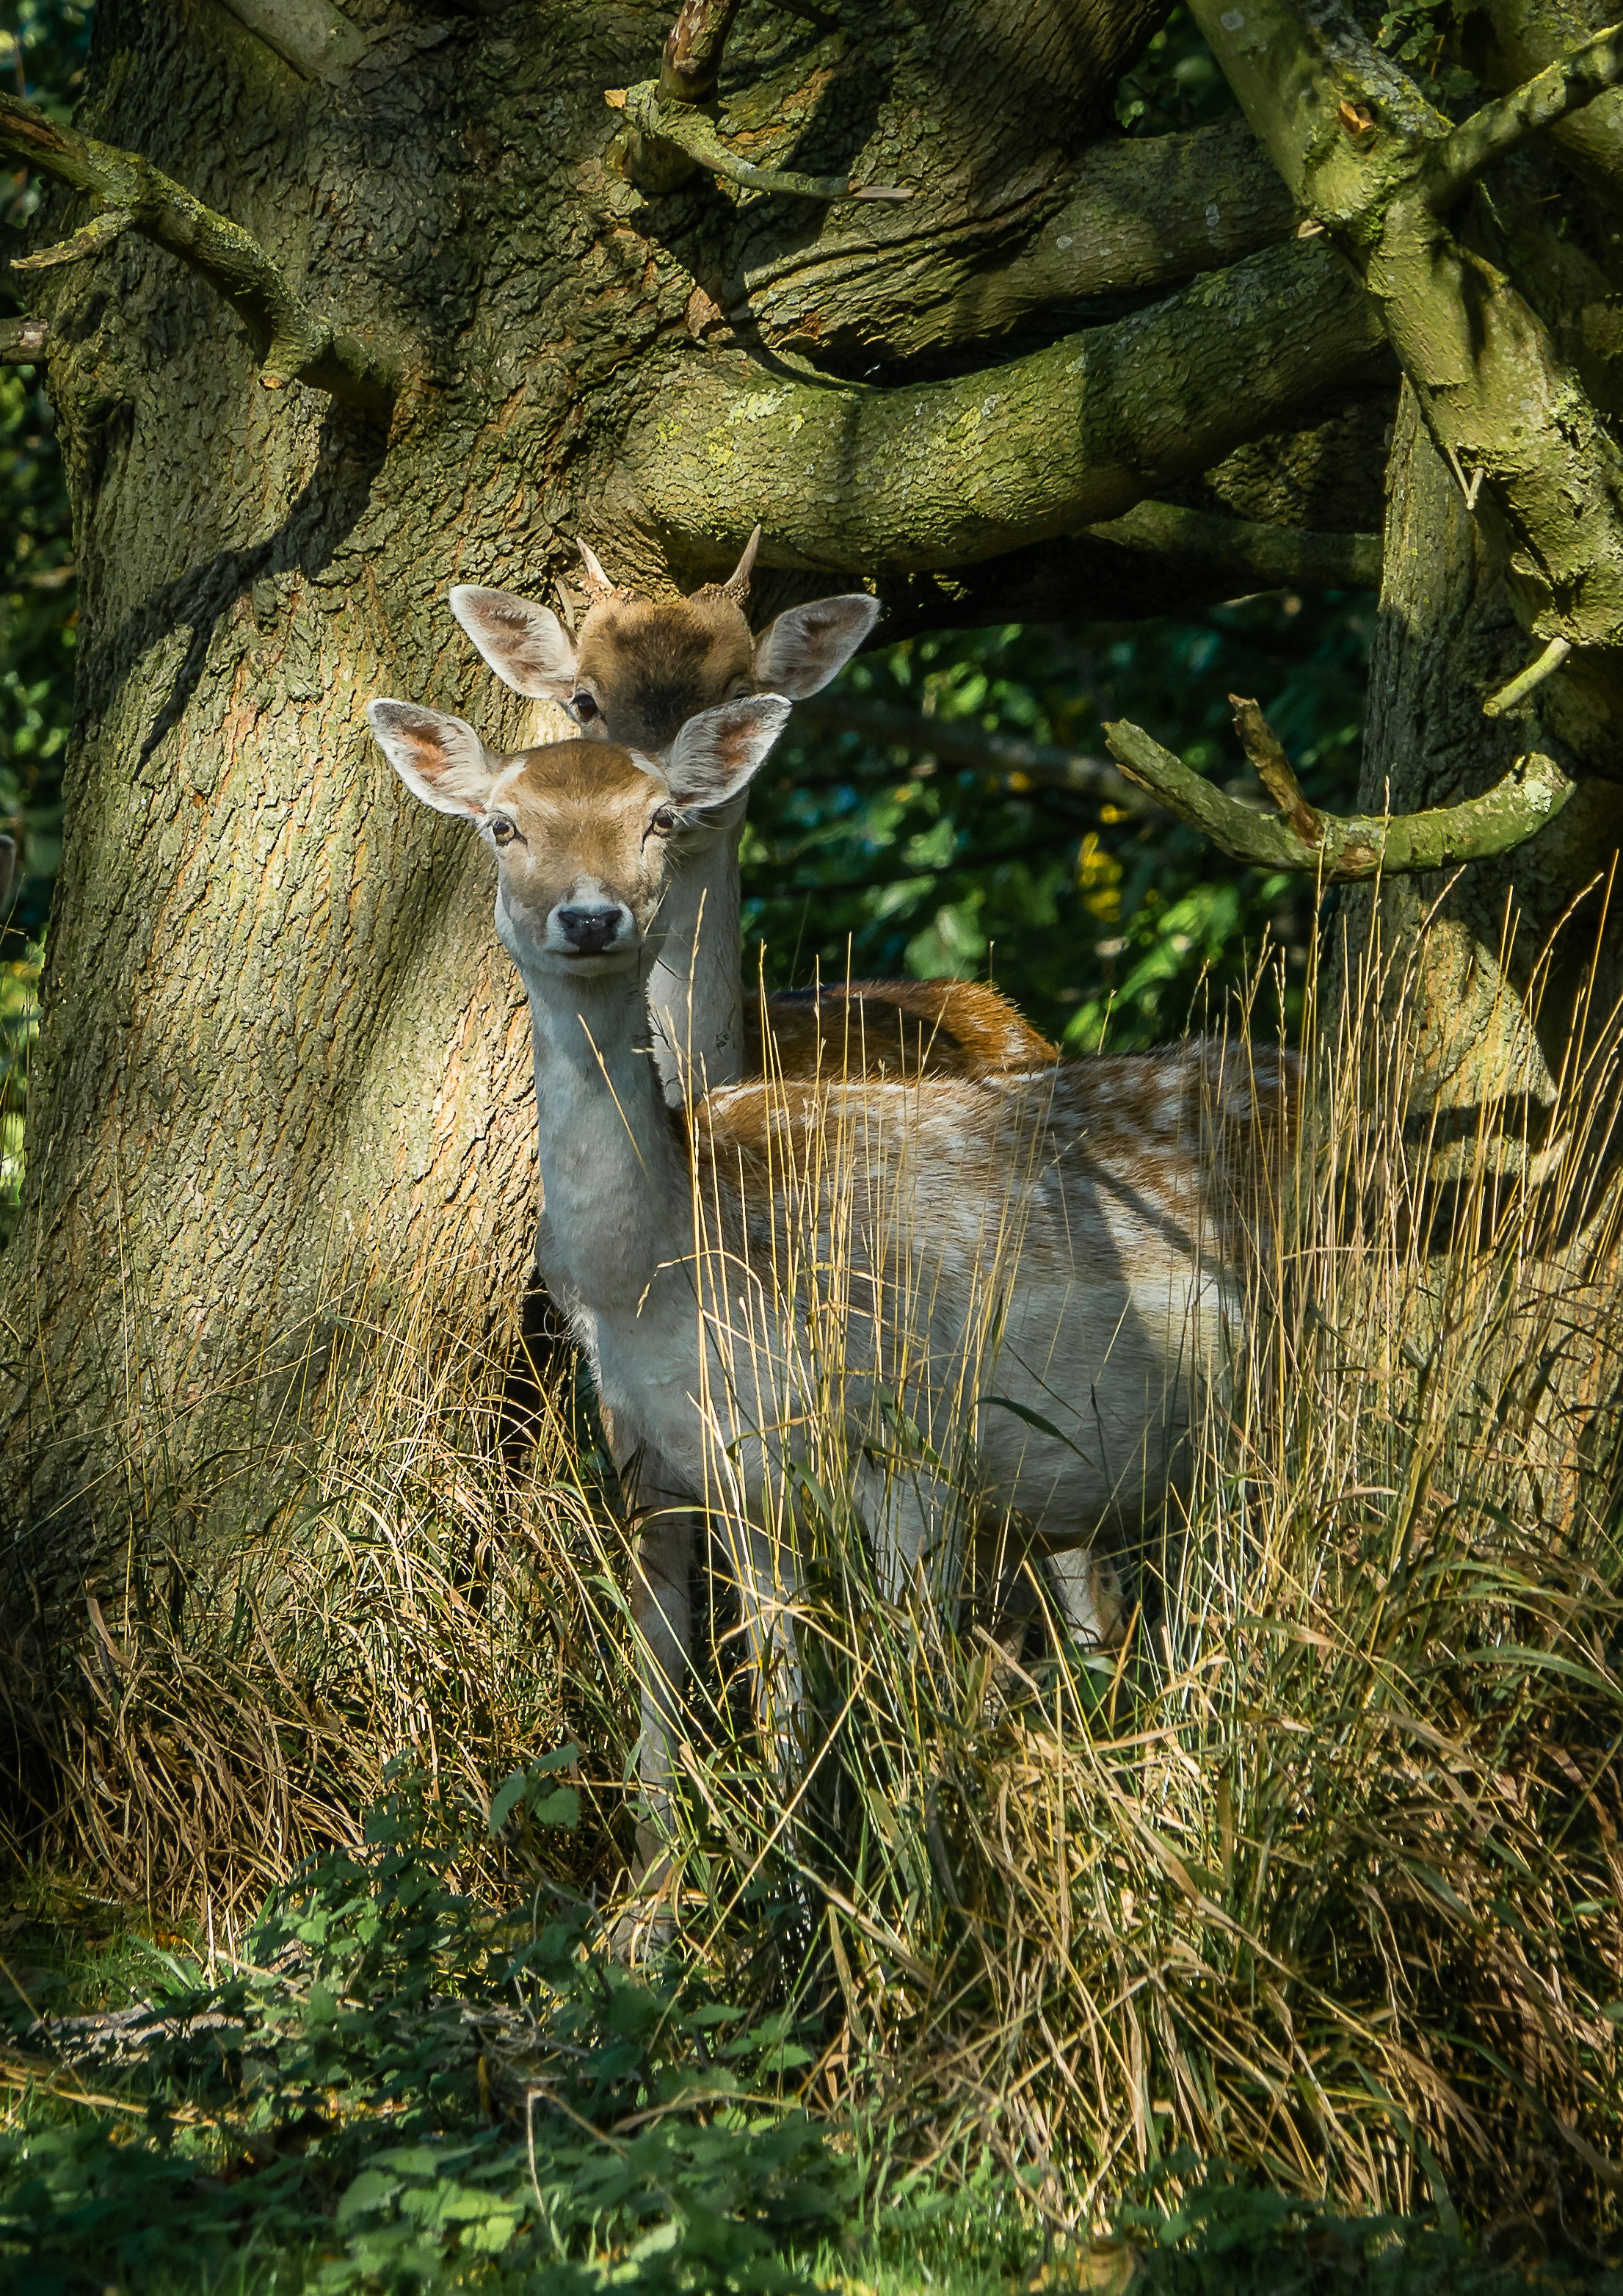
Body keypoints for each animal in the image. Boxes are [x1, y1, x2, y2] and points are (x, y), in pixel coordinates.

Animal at [367, 691, 1293, 1866]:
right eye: (503, 825)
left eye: (661, 817)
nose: (589, 918)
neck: (664, 1273)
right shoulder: (708, 1475)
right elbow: (759, 1703)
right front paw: (754, 1881)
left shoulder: (911, 1445)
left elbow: (910, 1710)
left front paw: (902, 1886)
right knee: (1119, 1624)